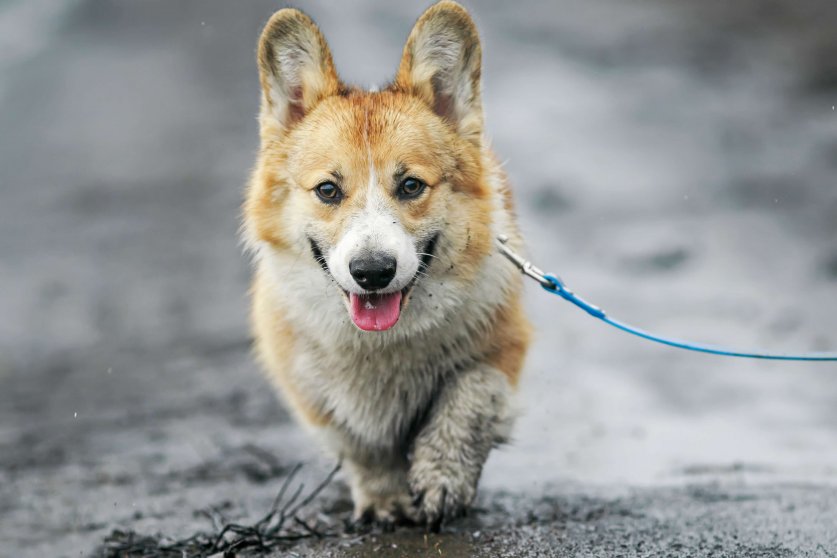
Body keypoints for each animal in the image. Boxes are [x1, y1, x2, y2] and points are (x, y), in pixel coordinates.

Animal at [243, 0, 528, 532]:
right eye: (328, 190)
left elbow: (467, 402)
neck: (382, 345)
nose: (372, 272)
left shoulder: (502, 349)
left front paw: (442, 481)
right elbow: (362, 446)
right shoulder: (312, 392)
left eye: (411, 185)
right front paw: (387, 501)